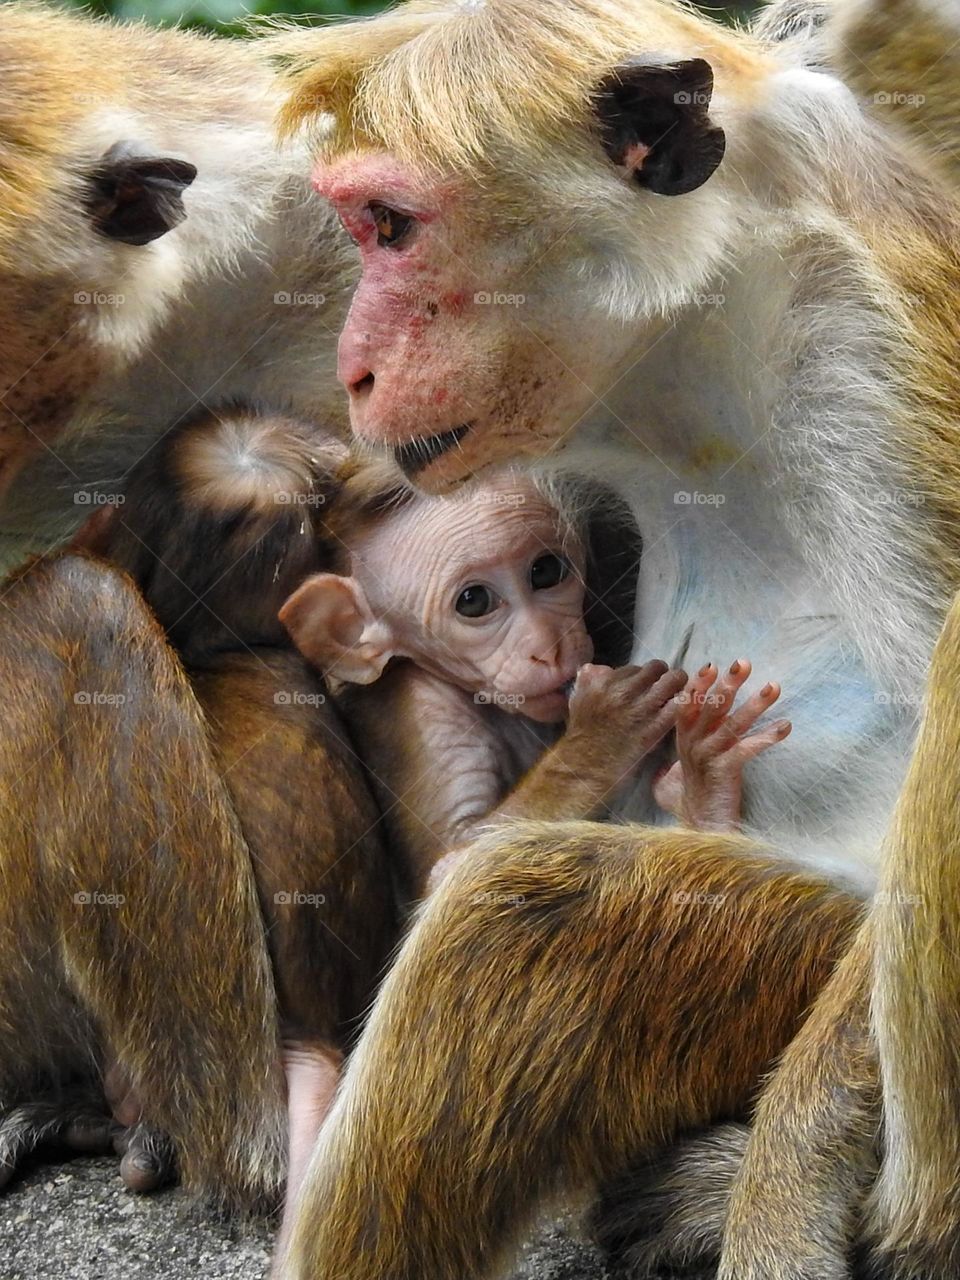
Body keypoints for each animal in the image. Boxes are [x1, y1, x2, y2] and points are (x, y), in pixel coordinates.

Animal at [270, 1, 960, 1276]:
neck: (695, 358)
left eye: (392, 226)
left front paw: (784, 1182)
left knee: (511, 904)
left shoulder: (861, 356)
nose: (353, 370)